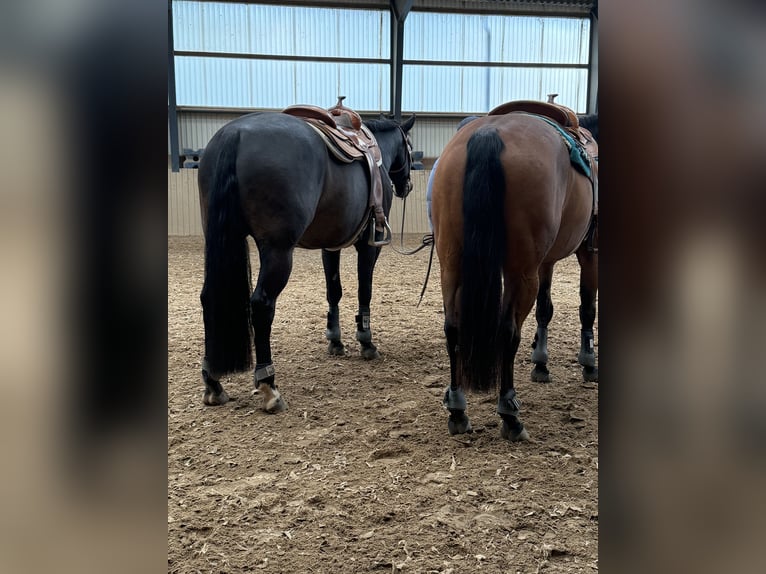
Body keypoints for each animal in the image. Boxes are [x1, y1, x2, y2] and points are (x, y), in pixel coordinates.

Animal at [197, 110, 415, 412]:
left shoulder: (330, 245)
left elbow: (334, 291)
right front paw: (366, 342)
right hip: (278, 251)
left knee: (209, 298)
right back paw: (269, 385)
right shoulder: (370, 245)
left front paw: (335, 340)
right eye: (409, 146)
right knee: (262, 304)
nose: (407, 185)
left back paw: (213, 383)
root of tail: (235, 134)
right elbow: (365, 290)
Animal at [431, 110, 597, 441]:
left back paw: (457, 408)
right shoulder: (590, 251)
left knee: (452, 328)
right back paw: (509, 413)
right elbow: (587, 306)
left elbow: (546, 309)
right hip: (520, 272)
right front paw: (588, 362)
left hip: (452, 264)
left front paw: (541, 363)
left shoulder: (546, 261)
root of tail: (490, 132)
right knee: (507, 331)